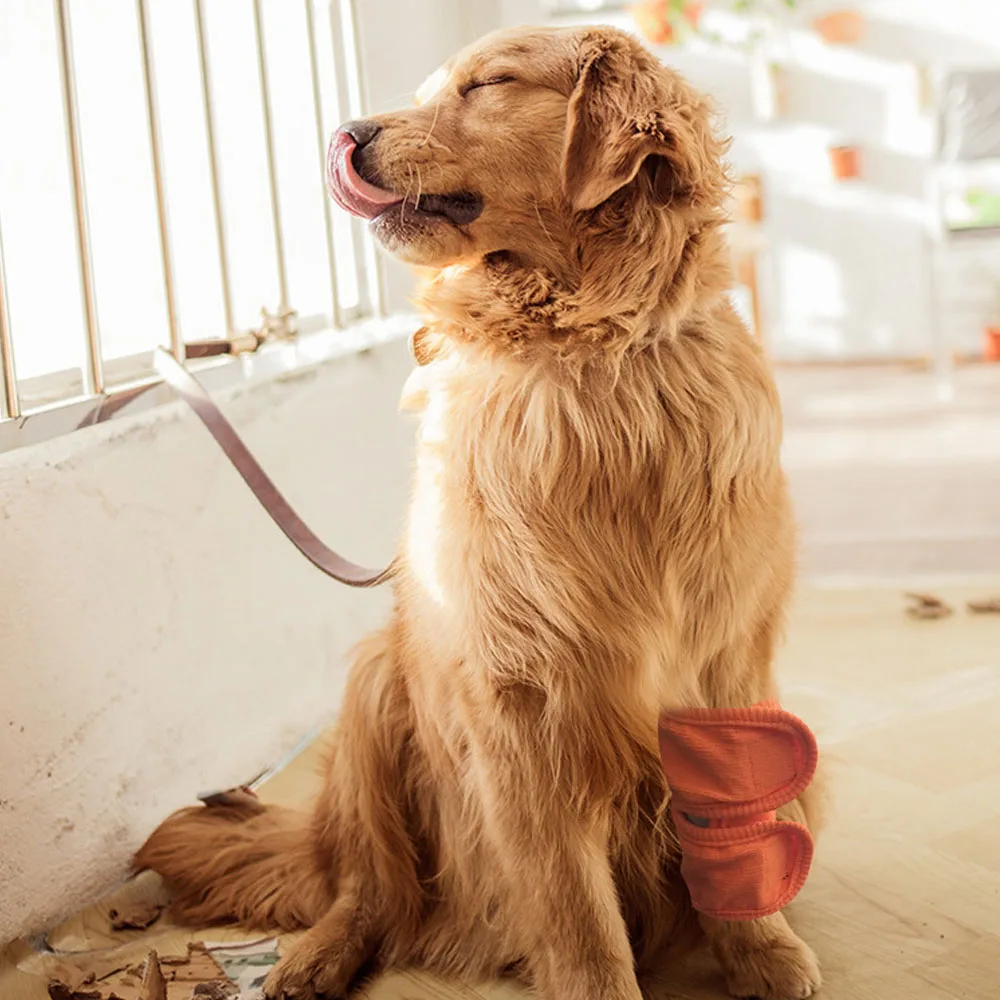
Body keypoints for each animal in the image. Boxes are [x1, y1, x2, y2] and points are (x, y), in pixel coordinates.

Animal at [139, 23, 820, 1000]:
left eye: (489, 83)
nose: (344, 133)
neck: (591, 354)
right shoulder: (520, 699)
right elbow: (576, 913)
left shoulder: (726, 662)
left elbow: (736, 830)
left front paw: (761, 950)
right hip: (375, 697)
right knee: (367, 888)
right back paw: (317, 957)